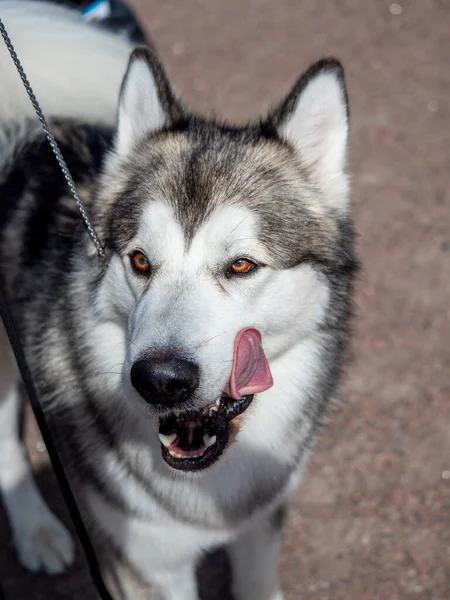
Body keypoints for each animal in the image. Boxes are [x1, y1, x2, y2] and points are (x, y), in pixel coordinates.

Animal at [0, 2, 358, 596]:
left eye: (241, 265)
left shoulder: (261, 522)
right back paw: (36, 530)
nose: (160, 381)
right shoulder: (146, 565)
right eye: (141, 261)